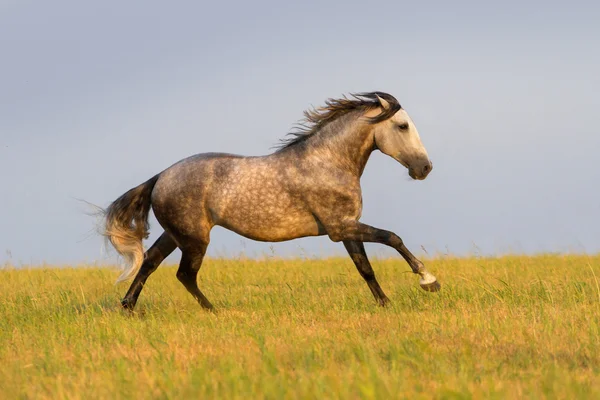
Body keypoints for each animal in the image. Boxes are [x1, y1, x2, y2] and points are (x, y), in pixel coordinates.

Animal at [102, 92, 440, 310]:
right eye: (402, 126)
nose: (424, 168)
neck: (328, 162)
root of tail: (160, 176)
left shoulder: (346, 227)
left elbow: (365, 268)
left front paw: (385, 304)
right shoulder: (340, 228)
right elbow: (393, 238)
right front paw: (429, 280)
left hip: (175, 234)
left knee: (150, 262)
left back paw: (128, 307)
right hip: (195, 239)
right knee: (184, 274)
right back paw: (215, 310)